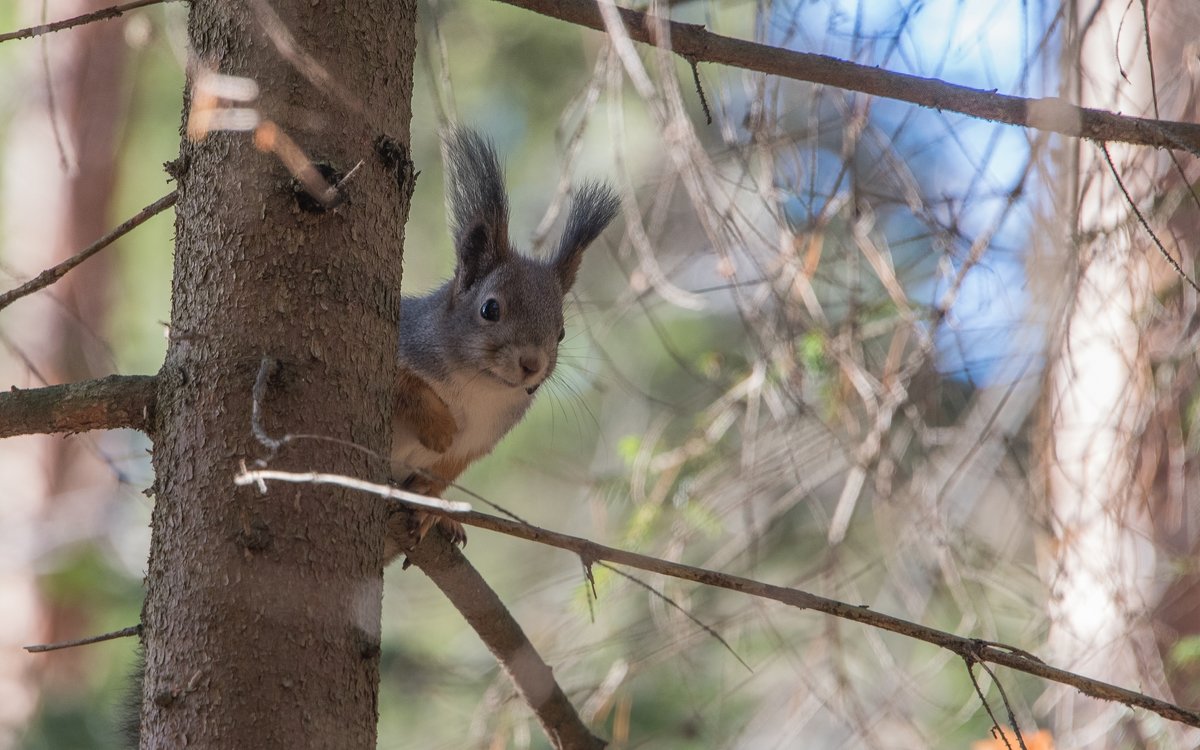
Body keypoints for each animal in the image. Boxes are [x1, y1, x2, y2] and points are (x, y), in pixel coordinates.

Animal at [384, 128, 619, 556]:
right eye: (490, 309)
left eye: (561, 332)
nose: (532, 364)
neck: (477, 388)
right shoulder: (403, 342)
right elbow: (404, 383)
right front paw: (440, 427)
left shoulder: (475, 445)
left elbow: (443, 472)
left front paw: (430, 504)